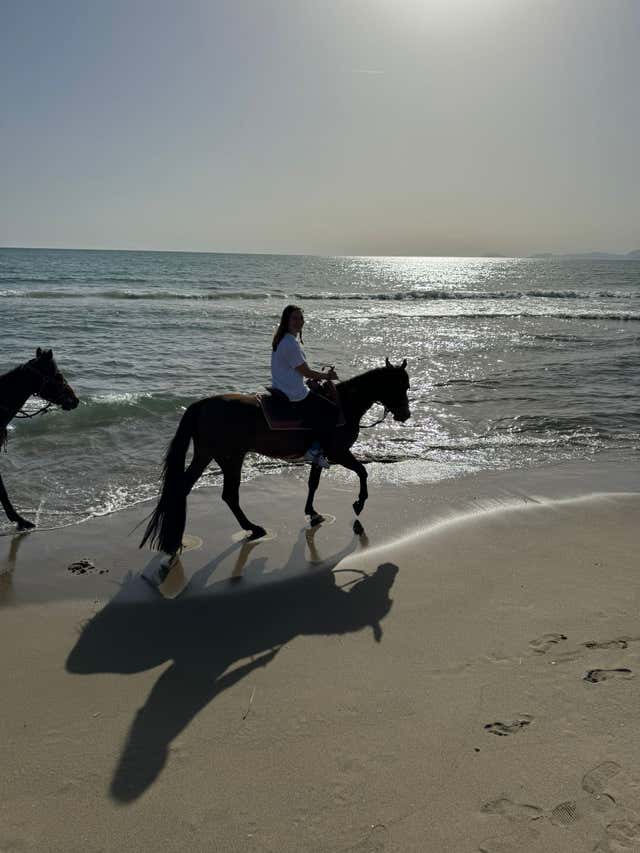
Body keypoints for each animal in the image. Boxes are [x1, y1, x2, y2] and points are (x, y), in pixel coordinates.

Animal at [140, 359, 411, 556]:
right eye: (400, 386)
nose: (405, 415)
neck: (344, 405)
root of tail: (204, 404)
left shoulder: (321, 455)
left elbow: (314, 483)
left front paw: (312, 512)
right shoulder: (337, 452)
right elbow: (362, 472)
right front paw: (359, 503)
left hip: (210, 455)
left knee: (194, 489)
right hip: (229, 456)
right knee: (226, 494)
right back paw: (247, 528)